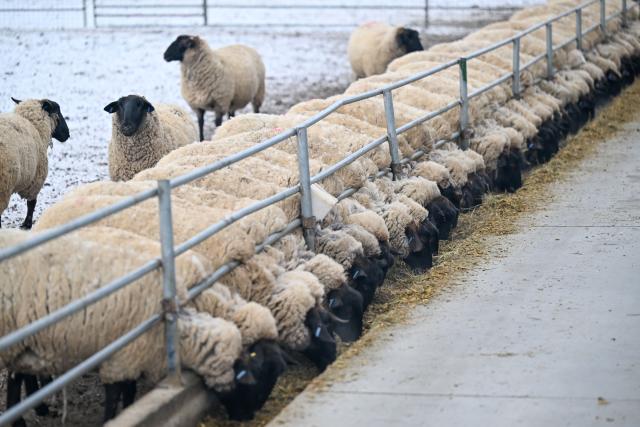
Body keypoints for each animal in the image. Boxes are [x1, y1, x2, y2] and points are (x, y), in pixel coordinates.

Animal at [0, 98, 69, 229]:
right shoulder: (36, 179)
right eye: (58, 111)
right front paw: (27, 224)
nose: (67, 134)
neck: (35, 127)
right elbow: (31, 204)